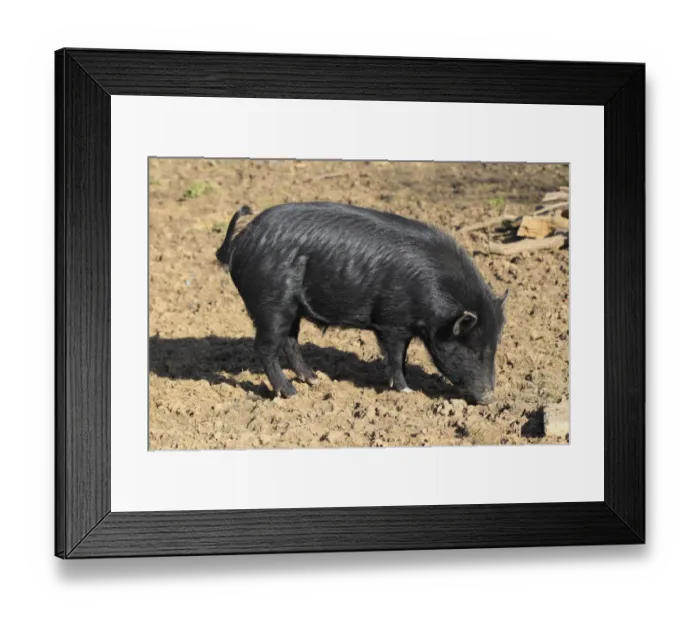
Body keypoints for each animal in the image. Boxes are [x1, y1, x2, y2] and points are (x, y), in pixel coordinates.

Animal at [216, 202, 508, 403]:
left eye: (494, 347)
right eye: (473, 350)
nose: (490, 398)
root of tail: (239, 242)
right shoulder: (393, 321)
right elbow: (396, 355)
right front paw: (406, 390)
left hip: (291, 309)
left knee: (290, 342)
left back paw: (315, 381)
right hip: (272, 304)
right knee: (265, 348)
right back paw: (292, 393)